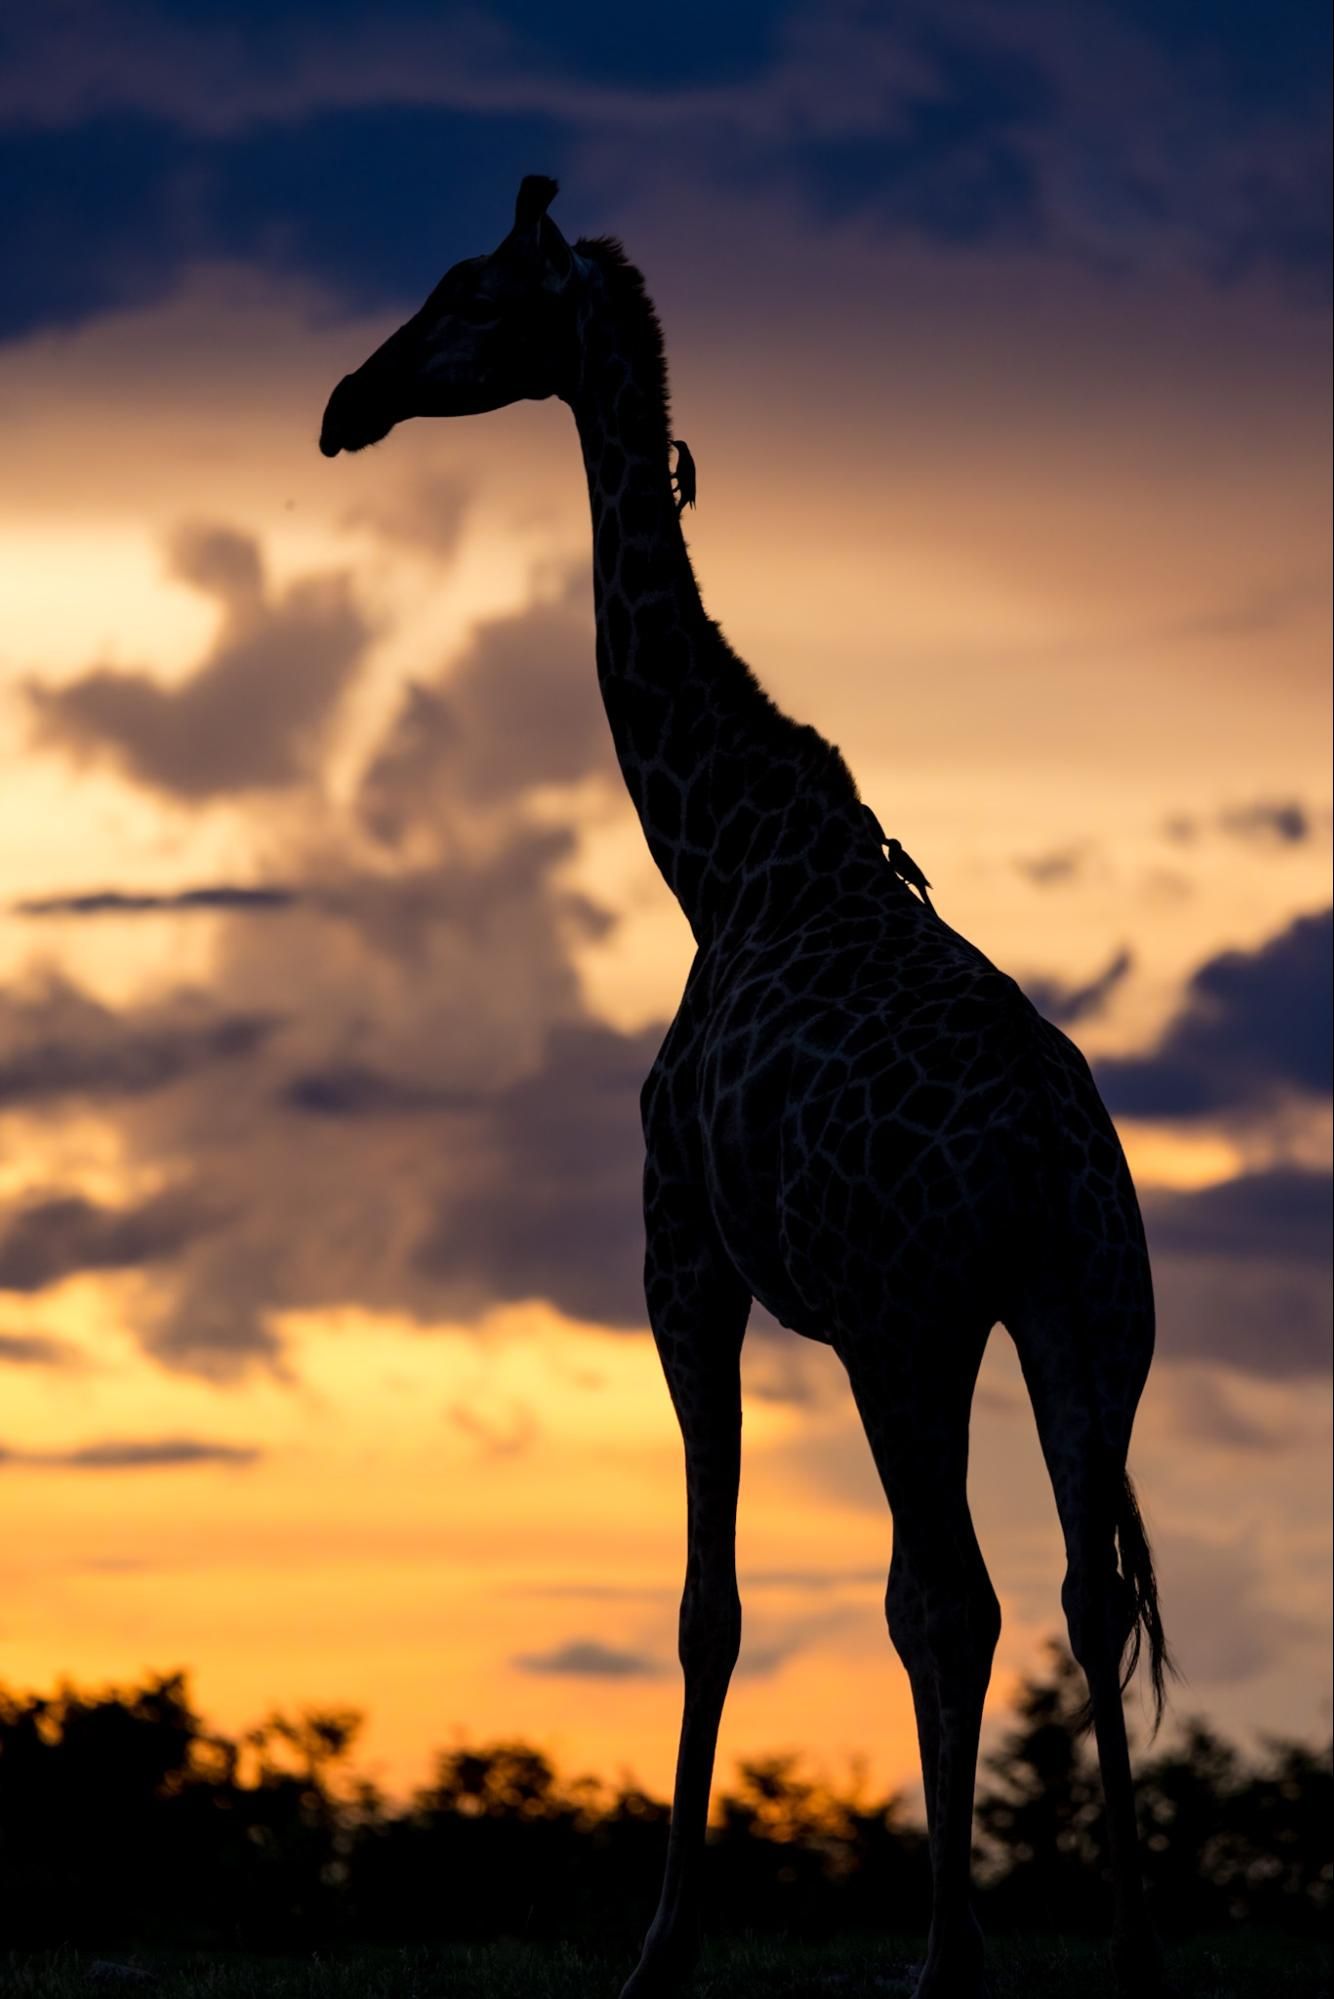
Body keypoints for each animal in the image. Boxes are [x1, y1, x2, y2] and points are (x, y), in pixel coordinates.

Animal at [319, 177, 1170, 1999]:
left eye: (468, 294)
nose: (345, 402)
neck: (718, 858)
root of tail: (1037, 1153)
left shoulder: (680, 1256)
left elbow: (707, 1602)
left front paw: (657, 1946)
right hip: (1090, 1310)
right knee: (1084, 1588)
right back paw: (1127, 1955)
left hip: (911, 1320)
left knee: (952, 1590)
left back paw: (945, 1958)